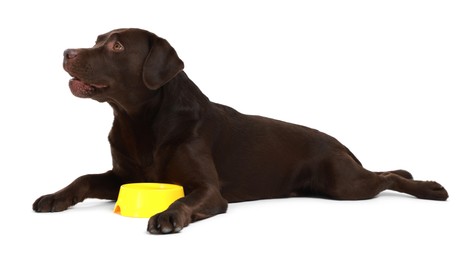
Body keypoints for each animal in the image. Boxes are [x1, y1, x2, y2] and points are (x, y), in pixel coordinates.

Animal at [31, 27, 448, 234]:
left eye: (116, 46)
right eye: (97, 40)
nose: (66, 52)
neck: (139, 121)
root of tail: (339, 143)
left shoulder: (207, 190)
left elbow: (182, 200)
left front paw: (168, 215)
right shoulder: (121, 176)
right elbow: (83, 178)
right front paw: (54, 197)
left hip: (344, 184)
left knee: (388, 177)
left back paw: (429, 188)